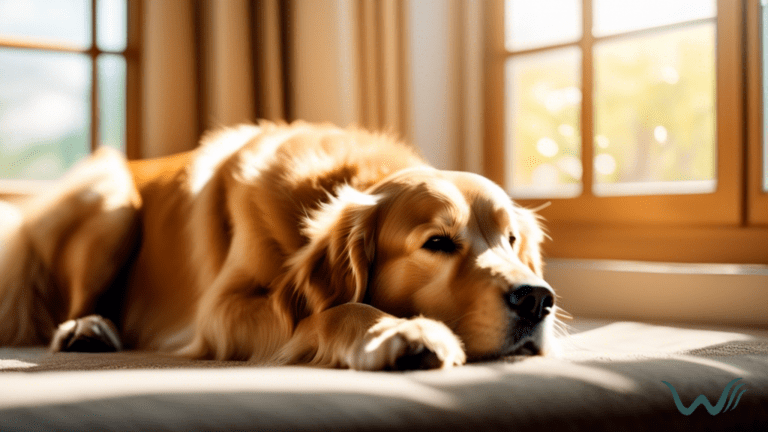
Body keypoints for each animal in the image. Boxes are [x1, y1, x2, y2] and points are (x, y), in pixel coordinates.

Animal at [1, 122, 564, 372]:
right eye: (438, 242)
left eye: (512, 241)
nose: (538, 299)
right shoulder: (223, 310)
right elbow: (335, 310)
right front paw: (400, 332)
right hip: (111, 201)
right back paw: (88, 328)